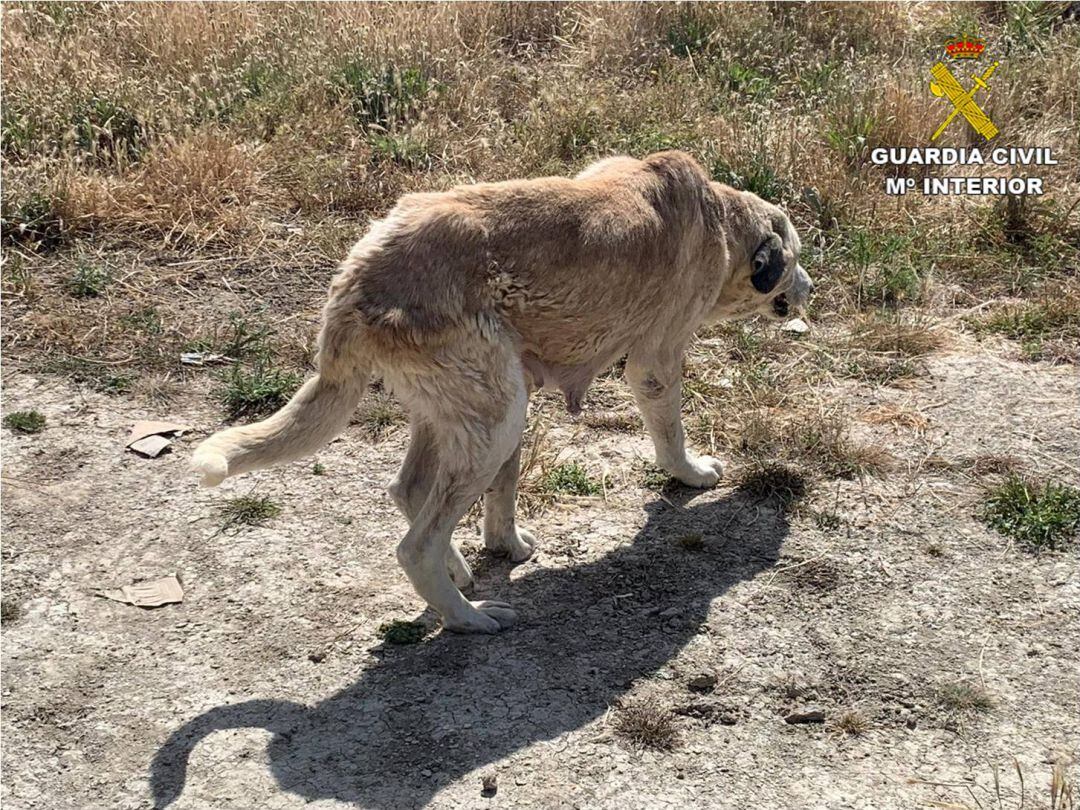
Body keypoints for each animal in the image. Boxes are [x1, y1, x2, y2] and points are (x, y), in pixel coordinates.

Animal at [194, 151, 812, 635]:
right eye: (799, 259)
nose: (812, 287)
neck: (719, 216)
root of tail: (355, 280)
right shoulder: (654, 363)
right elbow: (670, 435)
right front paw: (691, 474)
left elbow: (504, 493)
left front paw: (504, 545)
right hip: (497, 414)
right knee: (415, 545)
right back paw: (466, 616)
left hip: (474, 405)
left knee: (410, 489)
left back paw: (463, 568)